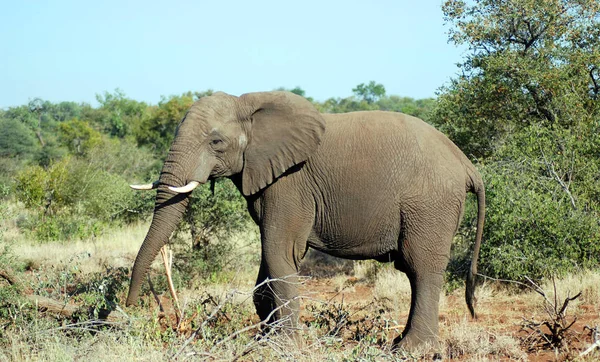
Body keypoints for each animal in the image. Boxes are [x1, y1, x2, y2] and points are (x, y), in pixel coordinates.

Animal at [124, 89, 486, 352]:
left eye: (216, 142)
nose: (129, 310)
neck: (249, 105)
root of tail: (466, 164)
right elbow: (268, 262)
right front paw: (264, 338)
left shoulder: (289, 184)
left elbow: (279, 252)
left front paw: (280, 347)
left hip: (429, 204)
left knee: (420, 267)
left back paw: (410, 350)